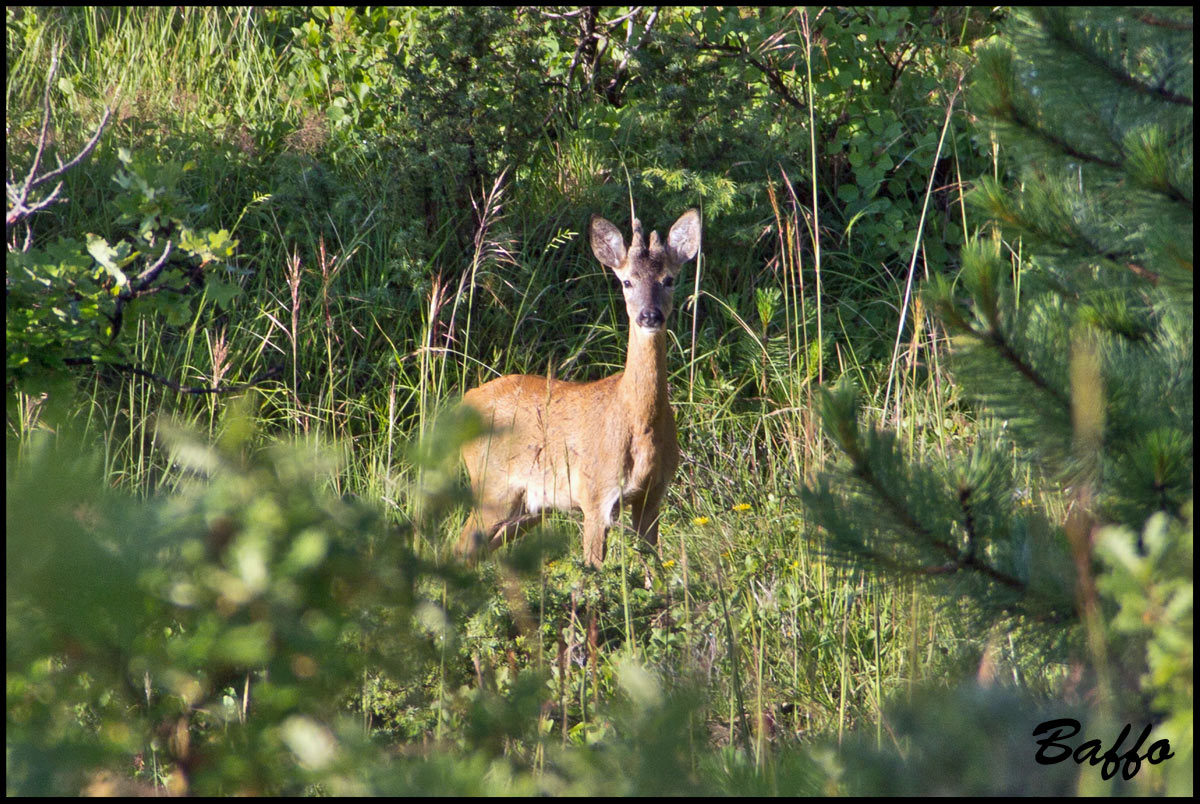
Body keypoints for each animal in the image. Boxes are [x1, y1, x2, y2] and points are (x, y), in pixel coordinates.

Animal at [458, 211, 700, 571]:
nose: (650, 315)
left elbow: (652, 568)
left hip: (526, 507)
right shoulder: (596, 494)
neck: (640, 423)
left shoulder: (652, 496)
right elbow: (593, 568)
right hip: (492, 487)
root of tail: (464, 400)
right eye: (626, 282)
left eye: (669, 279)